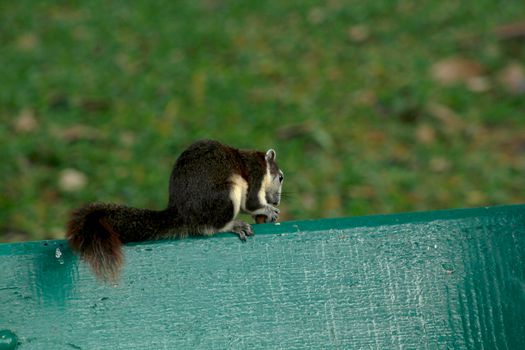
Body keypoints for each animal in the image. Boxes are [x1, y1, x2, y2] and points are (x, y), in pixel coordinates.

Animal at [68, 139, 286, 282]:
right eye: (281, 177)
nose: (275, 201)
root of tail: (182, 213)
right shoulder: (255, 175)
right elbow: (251, 203)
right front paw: (268, 210)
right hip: (226, 194)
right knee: (211, 227)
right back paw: (233, 225)